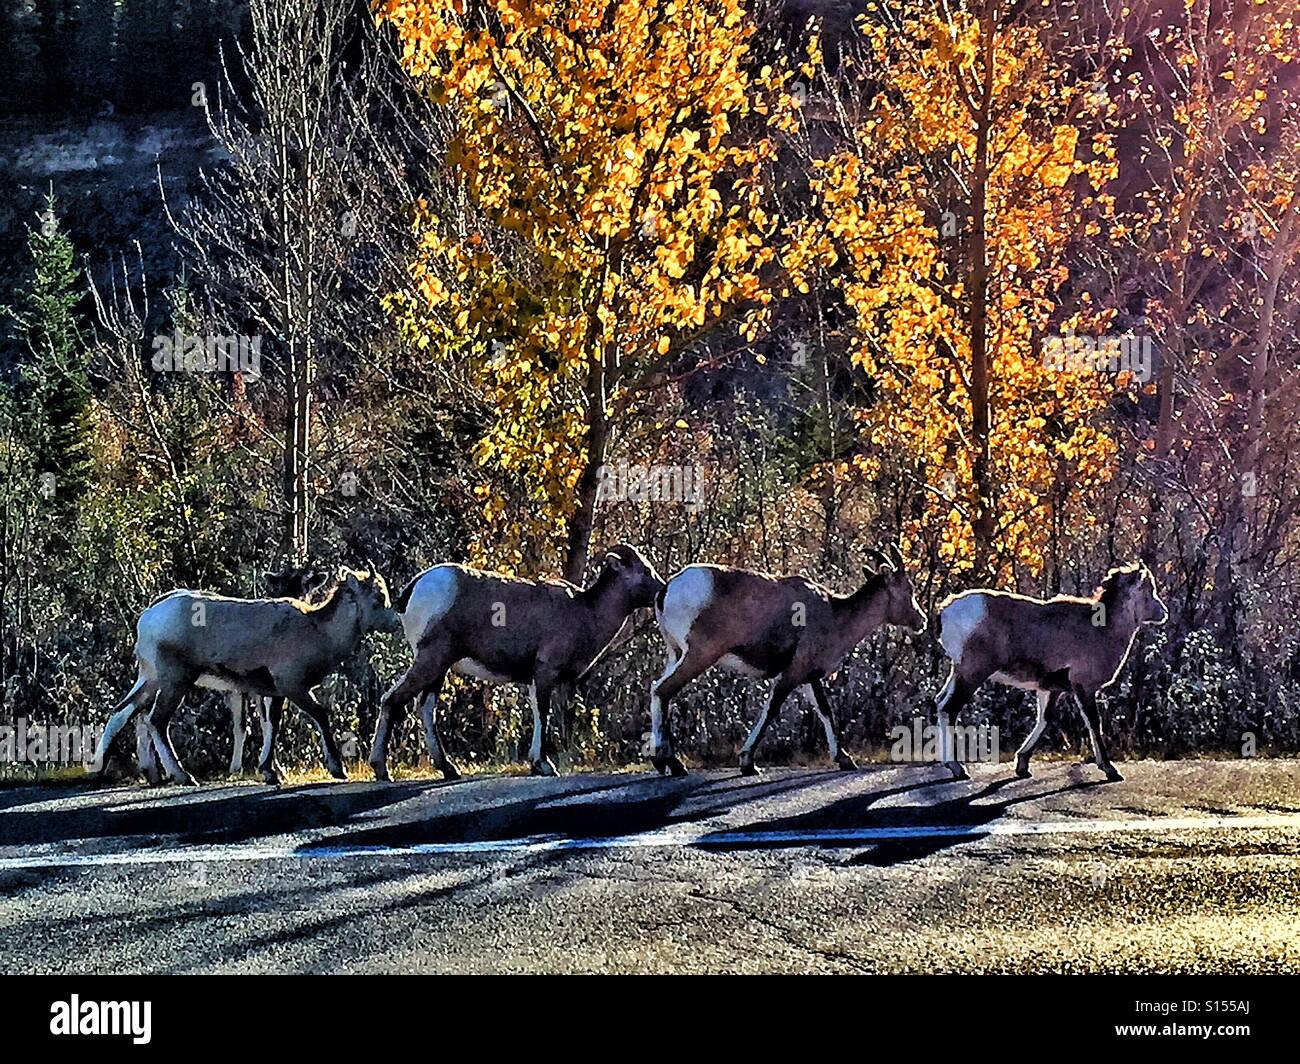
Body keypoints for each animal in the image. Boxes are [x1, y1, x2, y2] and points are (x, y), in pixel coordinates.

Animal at [89, 567, 400, 786]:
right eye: (377, 598)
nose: (397, 622)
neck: (317, 629)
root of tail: (150, 615)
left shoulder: (274, 694)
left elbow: (271, 726)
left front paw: (269, 772)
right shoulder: (293, 687)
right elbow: (320, 716)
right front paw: (337, 770)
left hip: (151, 679)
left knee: (124, 712)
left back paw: (107, 771)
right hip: (175, 681)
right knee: (155, 721)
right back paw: (183, 776)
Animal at [369, 545, 664, 781]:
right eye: (645, 571)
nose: (662, 591)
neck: (586, 611)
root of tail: (416, 587)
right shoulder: (544, 673)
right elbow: (542, 714)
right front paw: (543, 765)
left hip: (439, 668)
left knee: (425, 708)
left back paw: (449, 769)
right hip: (431, 660)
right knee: (392, 700)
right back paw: (382, 770)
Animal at [647, 544, 927, 777]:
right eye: (908, 589)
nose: (921, 620)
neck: (834, 615)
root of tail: (666, 590)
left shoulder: (808, 677)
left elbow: (825, 711)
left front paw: (845, 759)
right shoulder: (792, 674)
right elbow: (771, 710)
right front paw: (748, 763)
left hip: (676, 654)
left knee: (659, 691)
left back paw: (667, 763)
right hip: (699, 655)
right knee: (663, 690)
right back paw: (671, 763)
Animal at [934, 562, 1168, 782]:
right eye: (1148, 591)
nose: (1164, 613)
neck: (1103, 628)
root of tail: (945, 612)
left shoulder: (1050, 690)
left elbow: (1045, 720)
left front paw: (1022, 766)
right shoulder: (1083, 688)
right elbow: (1094, 723)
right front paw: (1110, 770)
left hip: (958, 672)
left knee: (940, 702)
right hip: (973, 673)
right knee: (949, 708)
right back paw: (957, 768)